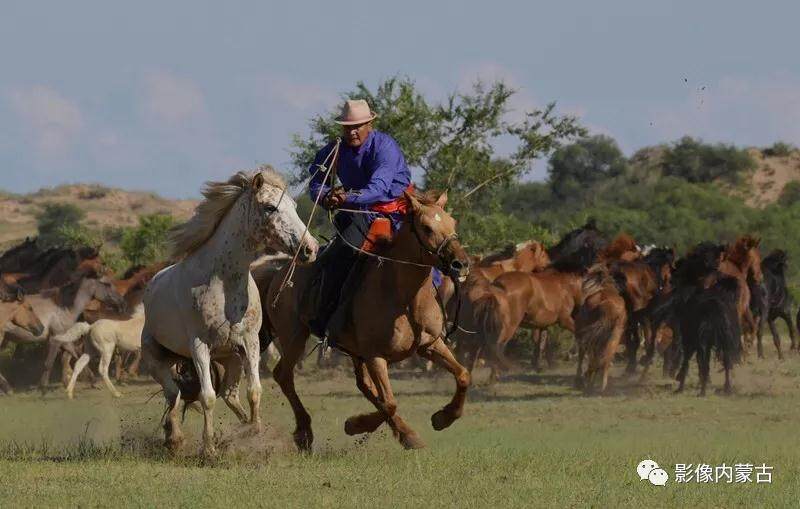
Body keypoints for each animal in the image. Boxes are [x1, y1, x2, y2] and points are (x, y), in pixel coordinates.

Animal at [142, 168, 318, 456]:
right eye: (270, 207)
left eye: (294, 206)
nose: (310, 249)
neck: (222, 282)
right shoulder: (199, 346)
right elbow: (207, 397)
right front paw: (209, 449)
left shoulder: (250, 342)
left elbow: (254, 391)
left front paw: (255, 435)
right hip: (156, 360)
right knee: (173, 393)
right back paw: (174, 438)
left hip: (231, 359)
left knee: (228, 395)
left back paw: (242, 428)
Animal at [266, 190, 472, 448]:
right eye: (426, 227)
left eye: (452, 223)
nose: (461, 264)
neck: (404, 297)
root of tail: (280, 274)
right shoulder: (376, 356)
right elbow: (389, 403)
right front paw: (354, 425)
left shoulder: (430, 345)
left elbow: (463, 375)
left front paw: (443, 418)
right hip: (294, 338)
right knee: (283, 375)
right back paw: (304, 432)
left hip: (354, 351)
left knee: (364, 385)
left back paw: (407, 434)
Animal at [576, 264, 632, 394]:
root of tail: (608, 306)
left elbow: (581, 357)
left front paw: (579, 381)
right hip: (614, 336)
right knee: (605, 359)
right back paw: (601, 387)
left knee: (594, 358)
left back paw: (589, 384)